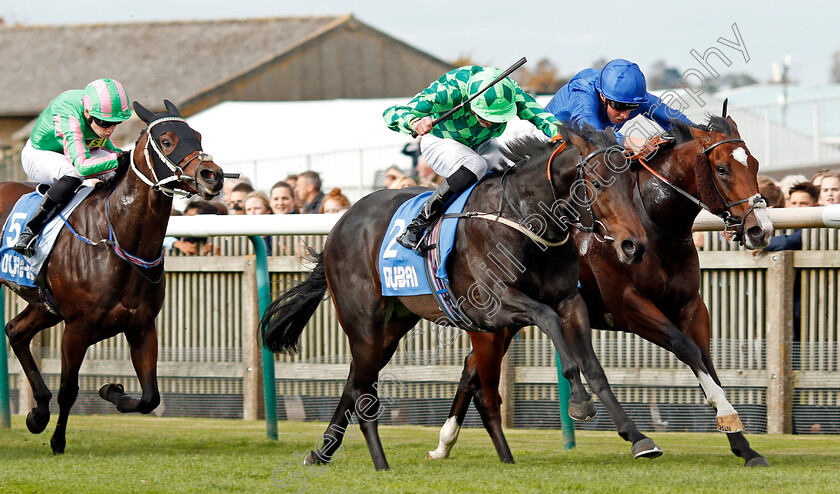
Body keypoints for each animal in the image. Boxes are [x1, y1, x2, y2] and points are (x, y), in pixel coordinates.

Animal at [0, 99, 225, 452]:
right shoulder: (76, 329)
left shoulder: (142, 326)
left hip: (44, 304)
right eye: (166, 141)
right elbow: (69, 391)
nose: (212, 175)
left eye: (198, 135)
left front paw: (111, 391)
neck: (117, 237)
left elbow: (150, 397)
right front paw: (58, 441)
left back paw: (38, 412)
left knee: (16, 332)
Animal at [262, 124, 648, 470]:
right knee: (363, 390)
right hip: (362, 321)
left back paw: (322, 452)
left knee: (354, 382)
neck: (524, 218)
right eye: (597, 183)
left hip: (391, 325)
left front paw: (638, 437)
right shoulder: (493, 309)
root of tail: (339, 224)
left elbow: (594, 367)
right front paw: (580, 402)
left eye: (632, 183)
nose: (635, 245)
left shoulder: (570, 302)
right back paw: (379, 463)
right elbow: (548, 321)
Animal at [434, 113, 776, 466]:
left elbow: (707, 362)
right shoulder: (628, 308)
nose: (760, 230)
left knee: (470, 368)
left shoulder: (691, 305)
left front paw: (744, 445)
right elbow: (687, 349)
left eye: (754, 164)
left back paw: (444, 443)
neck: (655, 225)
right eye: (721, 169)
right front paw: (724, 413)